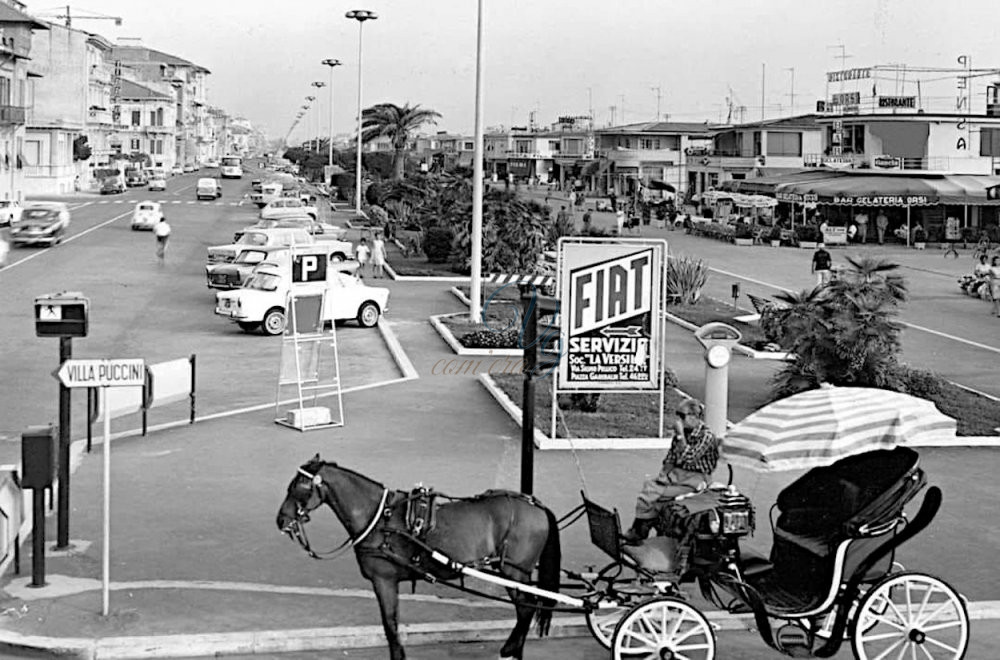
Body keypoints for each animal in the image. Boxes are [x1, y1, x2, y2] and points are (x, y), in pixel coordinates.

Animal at [276, 454, 564, 660]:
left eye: (298, 487)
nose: (281, 520)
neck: (380, 519)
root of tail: (536, 505)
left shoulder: (383, 580)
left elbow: (390, 625)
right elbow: (391, 624)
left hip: (514, 571)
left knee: (526, 608)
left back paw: (510, 650)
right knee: (525, 609)